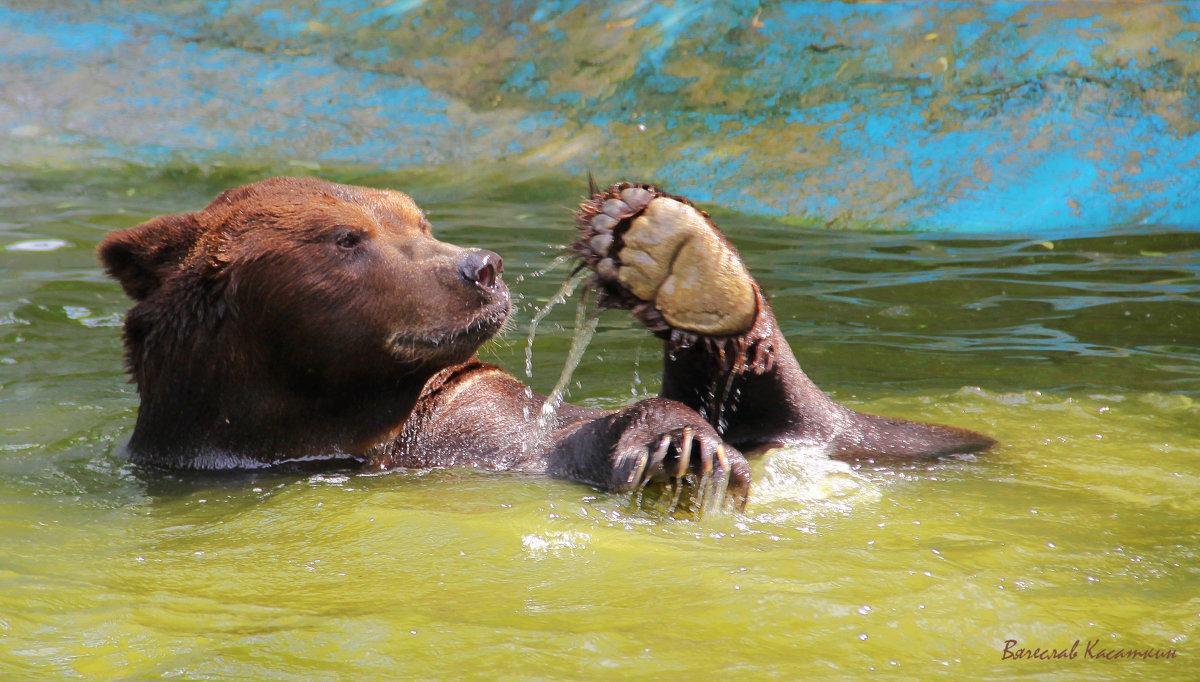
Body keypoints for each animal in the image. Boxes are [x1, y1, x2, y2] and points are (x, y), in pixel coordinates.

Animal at [98, 175, 988, 511]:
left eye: (414, 215)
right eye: (347, 238)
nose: (480, 265)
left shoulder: (476, 411)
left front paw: (683, 445)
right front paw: (680, 454)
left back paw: (680, 258)